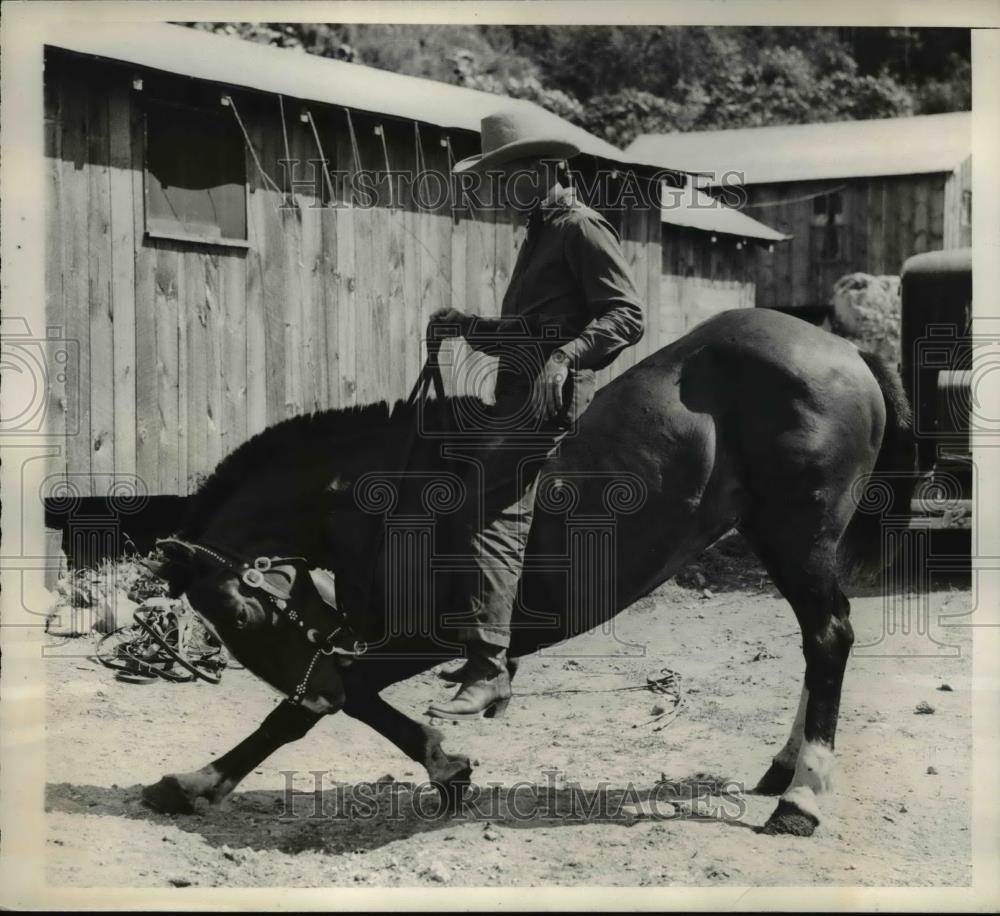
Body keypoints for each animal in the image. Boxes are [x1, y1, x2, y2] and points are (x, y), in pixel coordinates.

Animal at [141, 310, 916, 836]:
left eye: (241, 613)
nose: (306, 670)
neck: (384, 493)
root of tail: (842, 346)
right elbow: (346, 695)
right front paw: (446, 765)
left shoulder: (425, 635)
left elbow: (320, 702)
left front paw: (199, 781)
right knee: (818, 641)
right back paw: (785, 767)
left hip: (798, 535)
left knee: (829, 637)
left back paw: (801, 797)